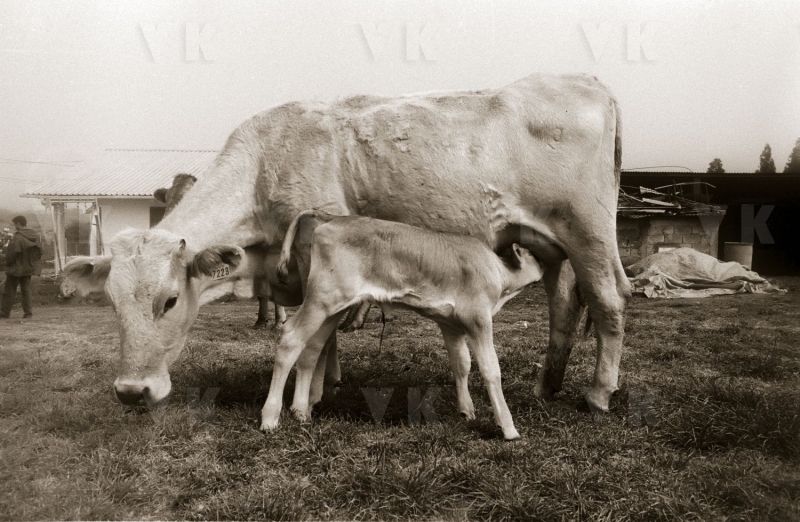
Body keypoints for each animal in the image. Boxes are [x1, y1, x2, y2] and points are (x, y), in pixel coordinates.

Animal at [260, 210, 544, 440]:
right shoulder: (478, 319)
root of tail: (334, 217)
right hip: (321, 299)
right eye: (532, 254)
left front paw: (467, 411)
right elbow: (490, 370)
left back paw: (301, 411)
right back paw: (270, 418)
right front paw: (508, 428)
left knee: (312, 347)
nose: (544, 264)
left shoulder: (451, 324)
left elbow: (461, 364)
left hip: (331, 306)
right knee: (291, 339)